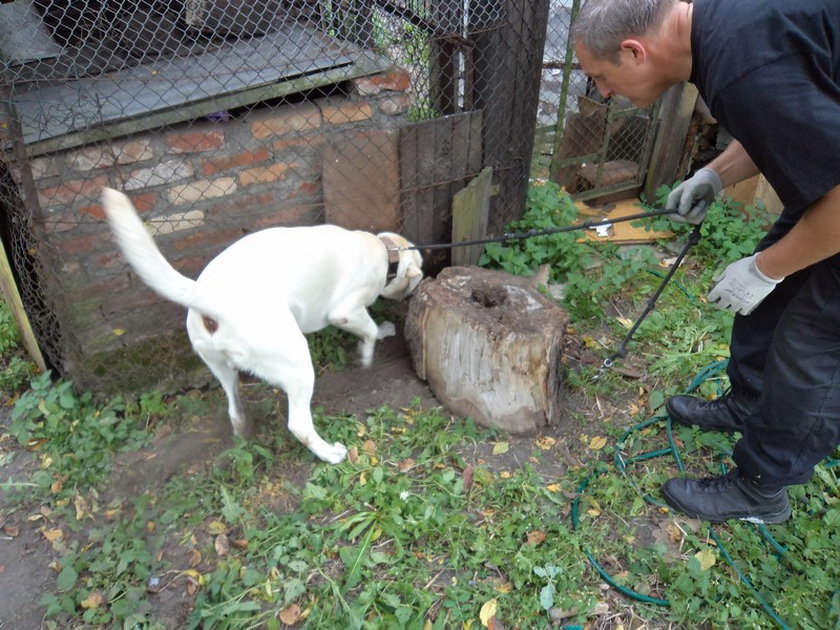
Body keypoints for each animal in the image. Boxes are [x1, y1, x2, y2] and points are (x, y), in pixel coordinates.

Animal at [101, 188, 424, 464]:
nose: (414, 291)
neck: (386, 253)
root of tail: (207, 296)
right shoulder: (345, 312)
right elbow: (369, 329)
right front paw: (369, 353)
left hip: (221, 368)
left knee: (233, 408)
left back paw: (244, 432)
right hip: (297, 362)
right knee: (299, 425)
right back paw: (330, 454)